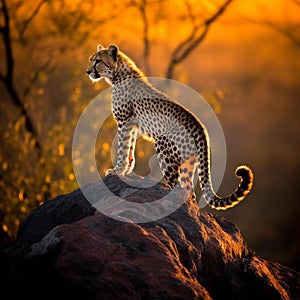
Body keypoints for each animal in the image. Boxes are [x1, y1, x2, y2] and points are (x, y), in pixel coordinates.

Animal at [86, 43, 253, 210]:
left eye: (98, 61)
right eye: (90, 60)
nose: (88, 71)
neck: (119, 74)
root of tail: (200, 128)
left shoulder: (124, 122)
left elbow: (123, 148)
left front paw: (118, 170)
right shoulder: (132, 125)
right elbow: (130, 149)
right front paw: (126, 170)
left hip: (163, 145)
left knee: (173, 183)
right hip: (187, 164)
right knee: (189, 192)